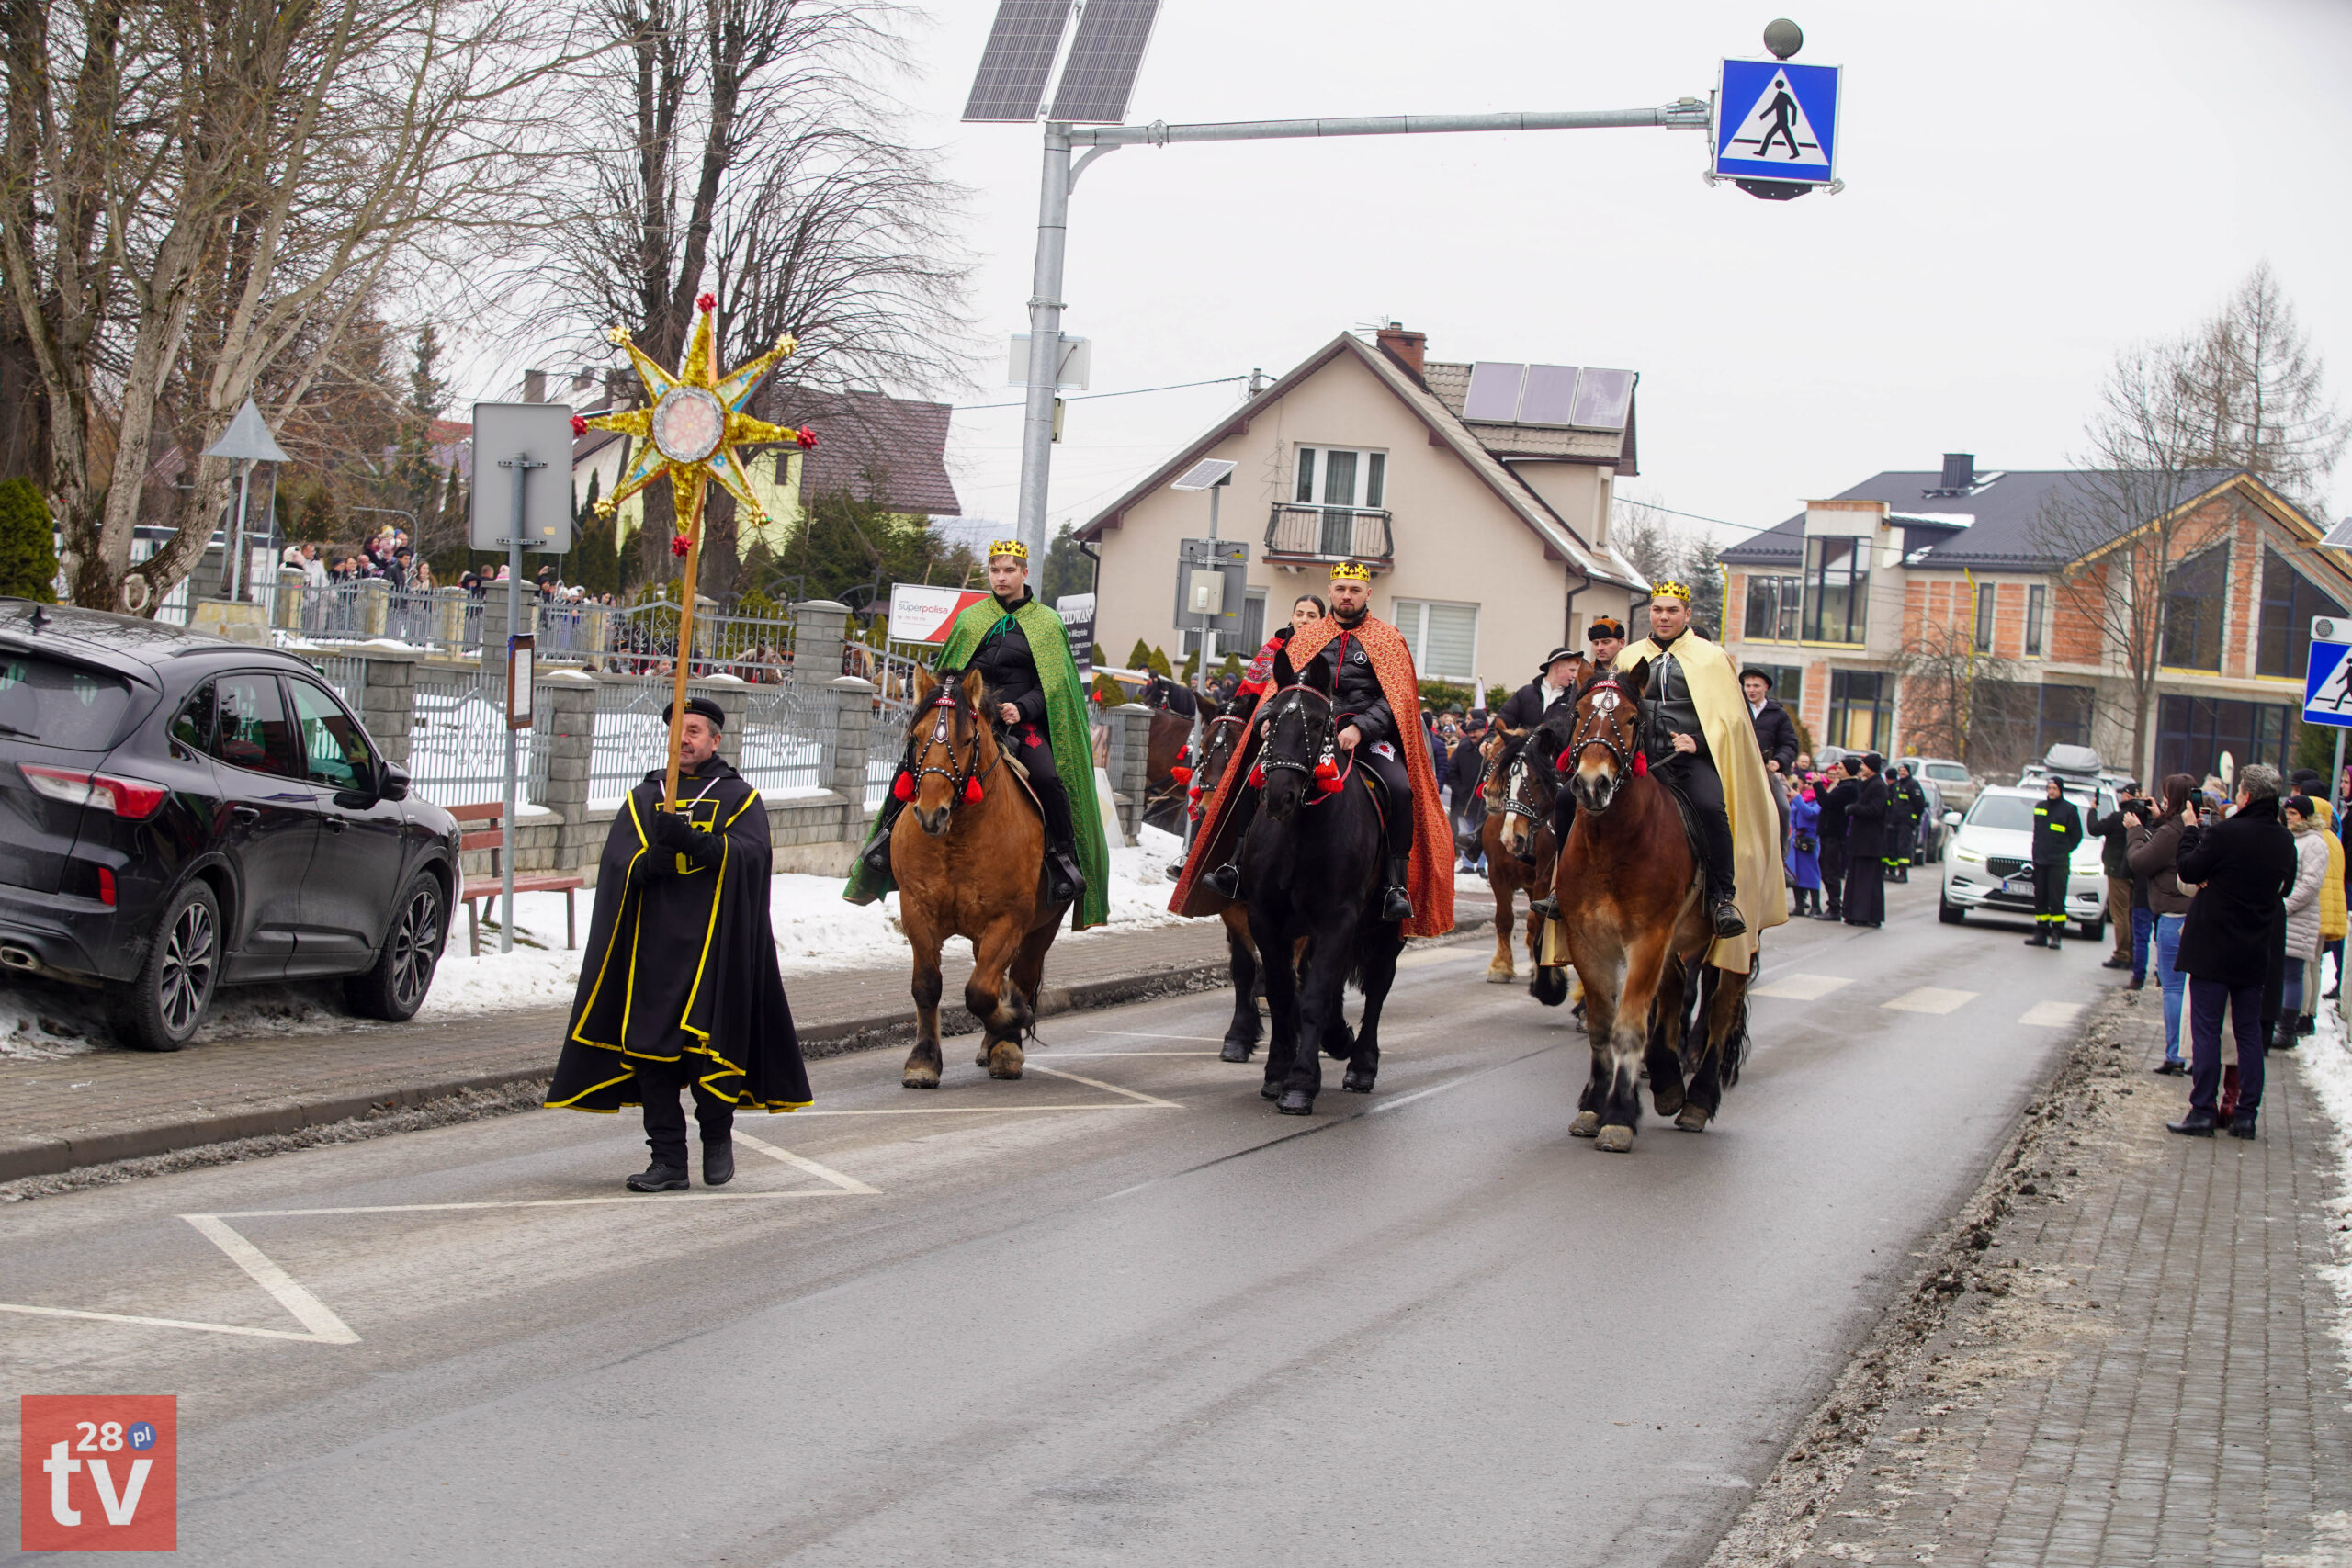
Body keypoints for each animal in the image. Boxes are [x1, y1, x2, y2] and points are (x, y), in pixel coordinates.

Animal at [883, 667, 1065, 1088]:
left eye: (966, 739)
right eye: (916, 737)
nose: (930, 814)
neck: (959, 837)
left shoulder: (1009, 920)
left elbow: (981, 991)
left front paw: (1012, 1026)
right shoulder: (916, 909)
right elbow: (928, 985)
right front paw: (923, 1061)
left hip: (1042, 928)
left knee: (1019, 977)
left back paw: (1004, 1042)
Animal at [1237, 661, 1404, 1115]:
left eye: (1316, 722)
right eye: (1273, 717)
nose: (1279, 795)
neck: (1302, 832)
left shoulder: (1337, 918)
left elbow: (1311, 998)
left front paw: (1299, 1085)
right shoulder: (1265, 918)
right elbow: (1281, 994)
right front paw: (1277, 1073)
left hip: (1386, 929)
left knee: (1378, 987)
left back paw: (1361, 1064)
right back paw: (1337, 1037)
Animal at [1539, 667, 1752, 1152]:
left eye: (1633, 719)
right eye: (1579, 713)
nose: (1592, 785)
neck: (1612, 844)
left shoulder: (1647, 938)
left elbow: (1627, 1027)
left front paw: (1618, 1117)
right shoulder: (1587, 942)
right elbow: (1602, 1026)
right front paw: (1593, 1106)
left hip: (1730, 947)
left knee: (1720, 1013)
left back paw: (1697, 1101)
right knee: (1674, 990)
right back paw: (1669, 1081)